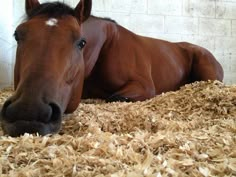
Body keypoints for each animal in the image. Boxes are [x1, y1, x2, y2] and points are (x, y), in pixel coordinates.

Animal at [0, 0, 222, 137]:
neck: (105, 47)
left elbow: (114, 98)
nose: (28, 111)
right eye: (17, 35)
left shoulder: (142, 86)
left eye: (81, 42)